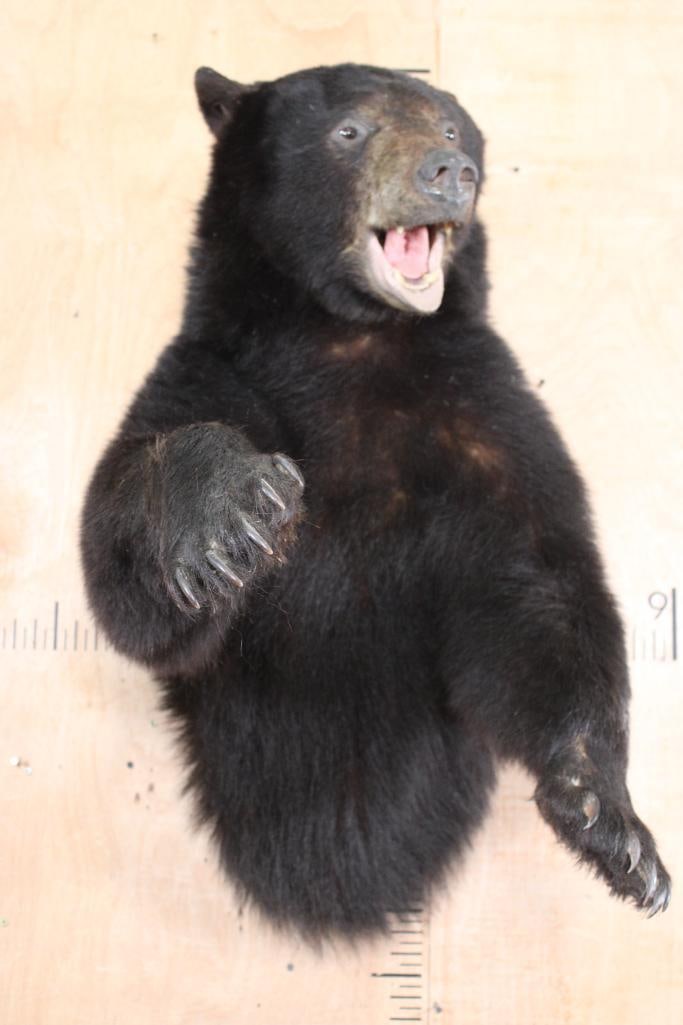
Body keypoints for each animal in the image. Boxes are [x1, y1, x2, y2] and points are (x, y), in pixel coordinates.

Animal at [80, 63, 670, 940]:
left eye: (452, 127)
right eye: (349, 131)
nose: (449, 171)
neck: (351, 340)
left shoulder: (485, 414)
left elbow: (540, 583)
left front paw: (613, 825)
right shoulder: (217, 368)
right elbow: (120, 546)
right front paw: (233, 509)